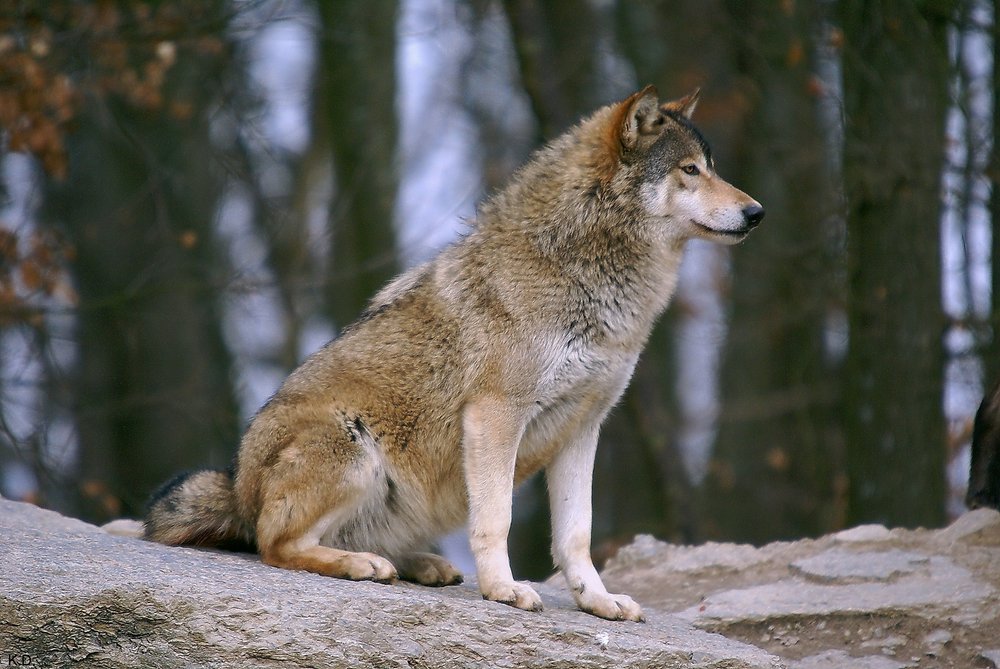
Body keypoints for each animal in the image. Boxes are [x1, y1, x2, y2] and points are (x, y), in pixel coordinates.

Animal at [144, 86, 763, 621]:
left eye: (711, 165)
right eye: (691, 170)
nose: (757, 211)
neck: (587, 277)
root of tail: (237, 487)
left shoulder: (583, 427)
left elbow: (577, 534)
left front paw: (599, 602)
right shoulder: (496, 414)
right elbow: (497, 518)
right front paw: (504, 590)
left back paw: (418, 565)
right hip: (352, 446)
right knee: (275, 545)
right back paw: (362, 564)